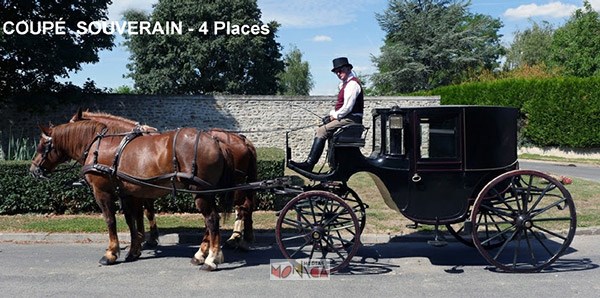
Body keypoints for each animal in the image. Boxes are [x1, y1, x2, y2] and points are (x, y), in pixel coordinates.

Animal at [30, 120, 233, 272]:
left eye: (42, 145)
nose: (33, 169)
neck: (97, 146)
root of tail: (215, 140)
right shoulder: (127, 193)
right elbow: (131, 221)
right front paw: (134, 251)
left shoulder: (102, 192)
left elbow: (110, 220)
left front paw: (111, 253)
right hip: (205, 193)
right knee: (209, 221)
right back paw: (202, 255)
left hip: (200, 192)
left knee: (211, 219)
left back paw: (211, 259)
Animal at [70, 110, 258, 249]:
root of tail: (243, 140)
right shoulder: (138, 189)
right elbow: (142, 212)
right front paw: (144, 237)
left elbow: (143, 212)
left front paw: (147, 238)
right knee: (247, 206)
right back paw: (246, 237)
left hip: (233, 185)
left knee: (241, 208)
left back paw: (235, 238)